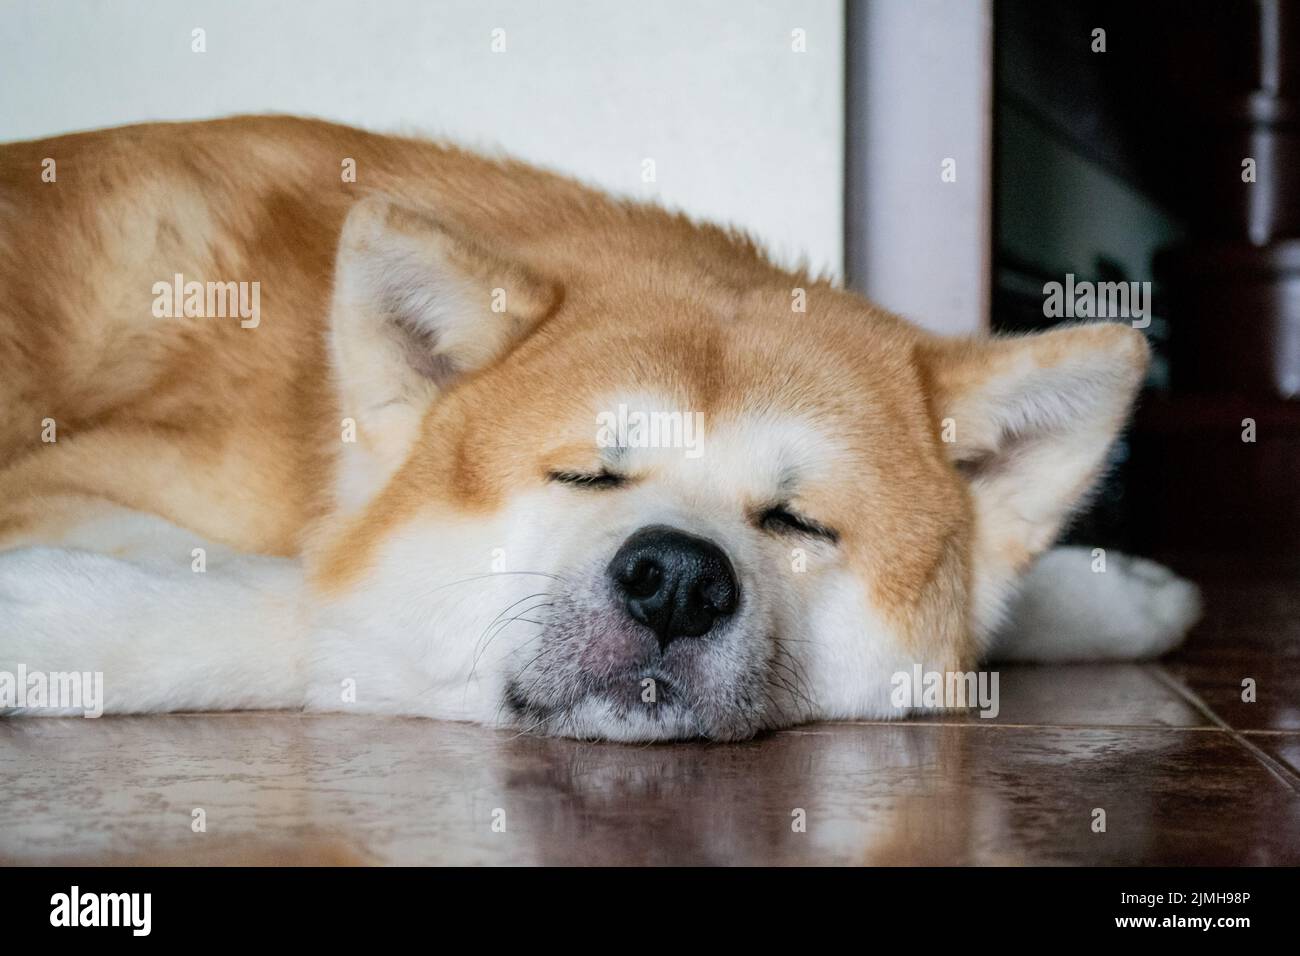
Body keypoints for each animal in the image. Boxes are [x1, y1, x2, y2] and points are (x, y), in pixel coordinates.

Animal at [0, 113, 1196, 738]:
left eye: (796, 522)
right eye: (585, 475)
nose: (677, 578)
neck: (313, 425)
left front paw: (1114, 593)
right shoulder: (61, 488)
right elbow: (309, 611)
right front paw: (64, 623)